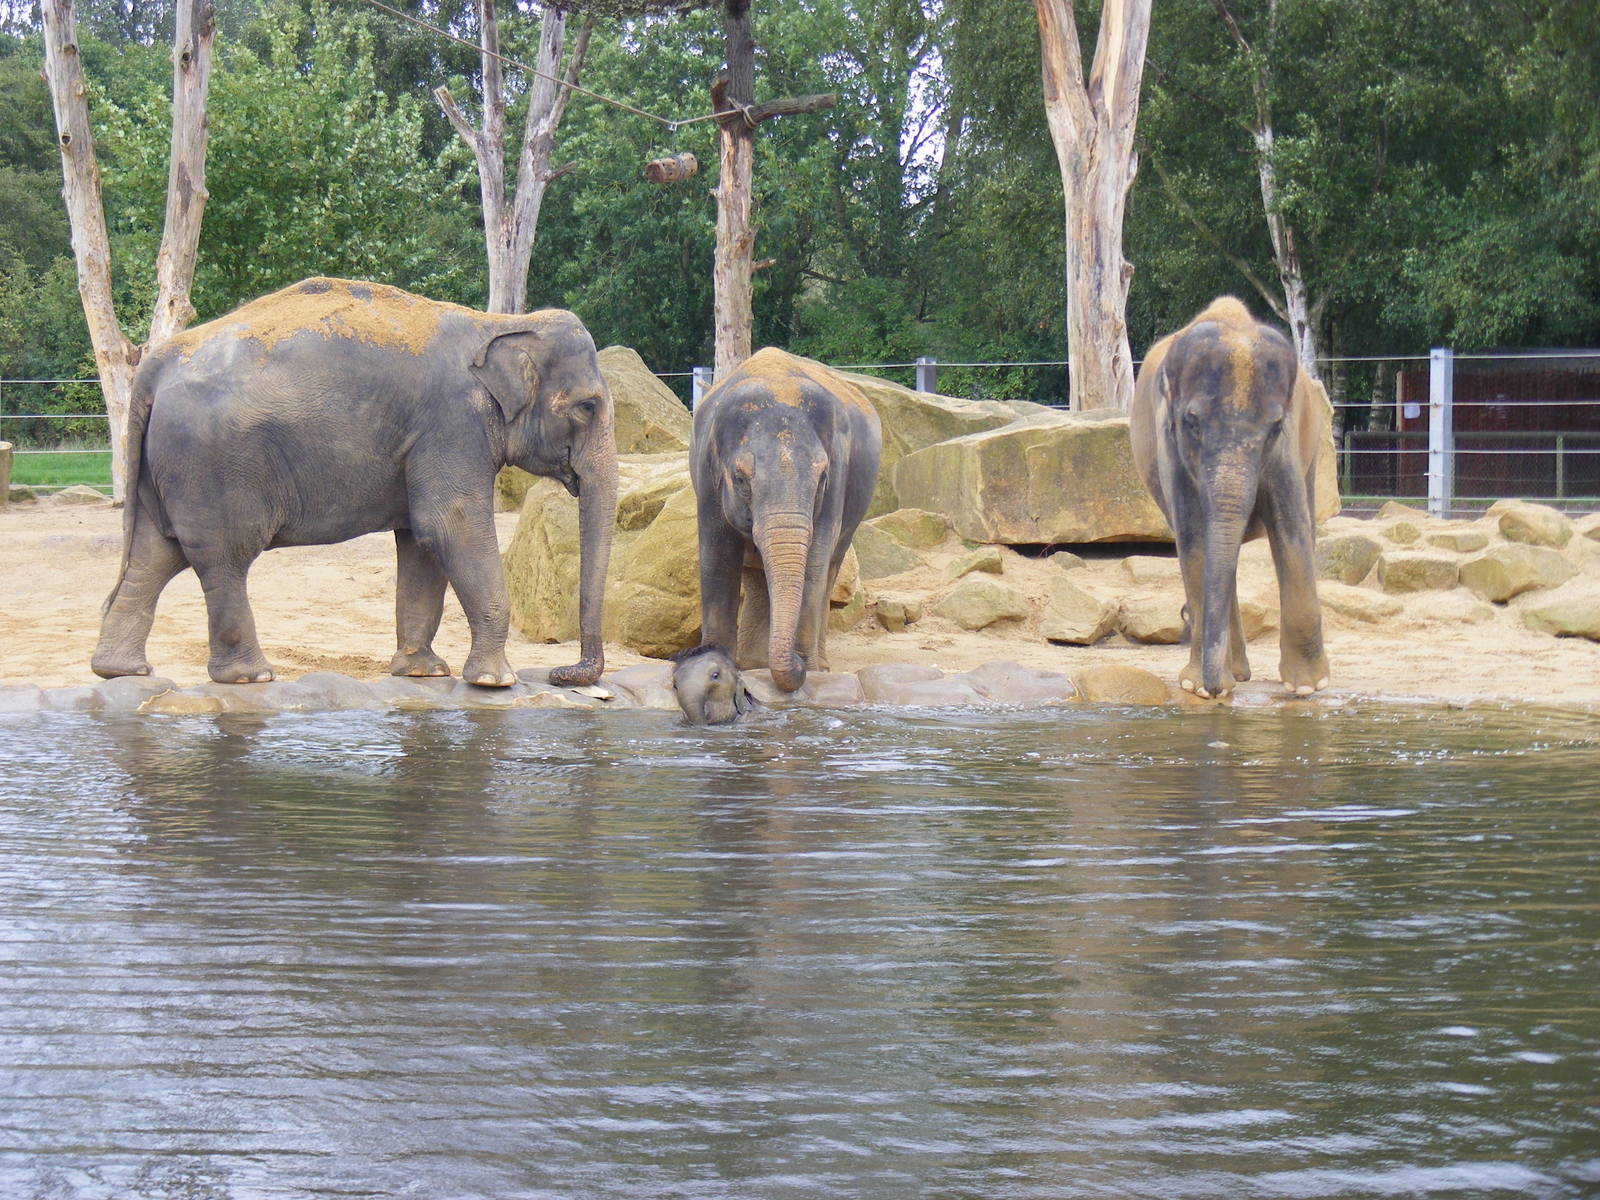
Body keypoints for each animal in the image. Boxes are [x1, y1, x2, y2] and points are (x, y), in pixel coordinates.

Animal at [91, 276, 617, 688]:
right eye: (588, 406)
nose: (561, 672)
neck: (497, 323)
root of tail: (156, 365)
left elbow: (421, 541)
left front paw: (422, 672)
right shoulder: (454, 424)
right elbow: (450, 525)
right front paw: (495, 681)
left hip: (167, 467)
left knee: (153, 556)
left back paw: (121, 671)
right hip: (211, 466)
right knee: (224, 559)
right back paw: (250, 677)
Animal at [688, 348, 881, 693]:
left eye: (822, 477)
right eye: (740, 478)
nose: (797, 663)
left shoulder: (838, 475)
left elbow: (814, 563)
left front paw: (811, 670)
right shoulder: (706, 476)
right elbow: (717, 559)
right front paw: (715, 665)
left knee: (831, 564)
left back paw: (814, 663)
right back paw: (753, 663)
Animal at [1129, 296, 1329, 699]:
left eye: (1275, 426)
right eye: (1191, 423)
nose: (1215, 689)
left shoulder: (1287, 443)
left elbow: (1290, 526)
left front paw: (1307, 687)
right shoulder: (1169, 444)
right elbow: (1193, 534)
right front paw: (1199, 687)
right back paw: (1235, 673)